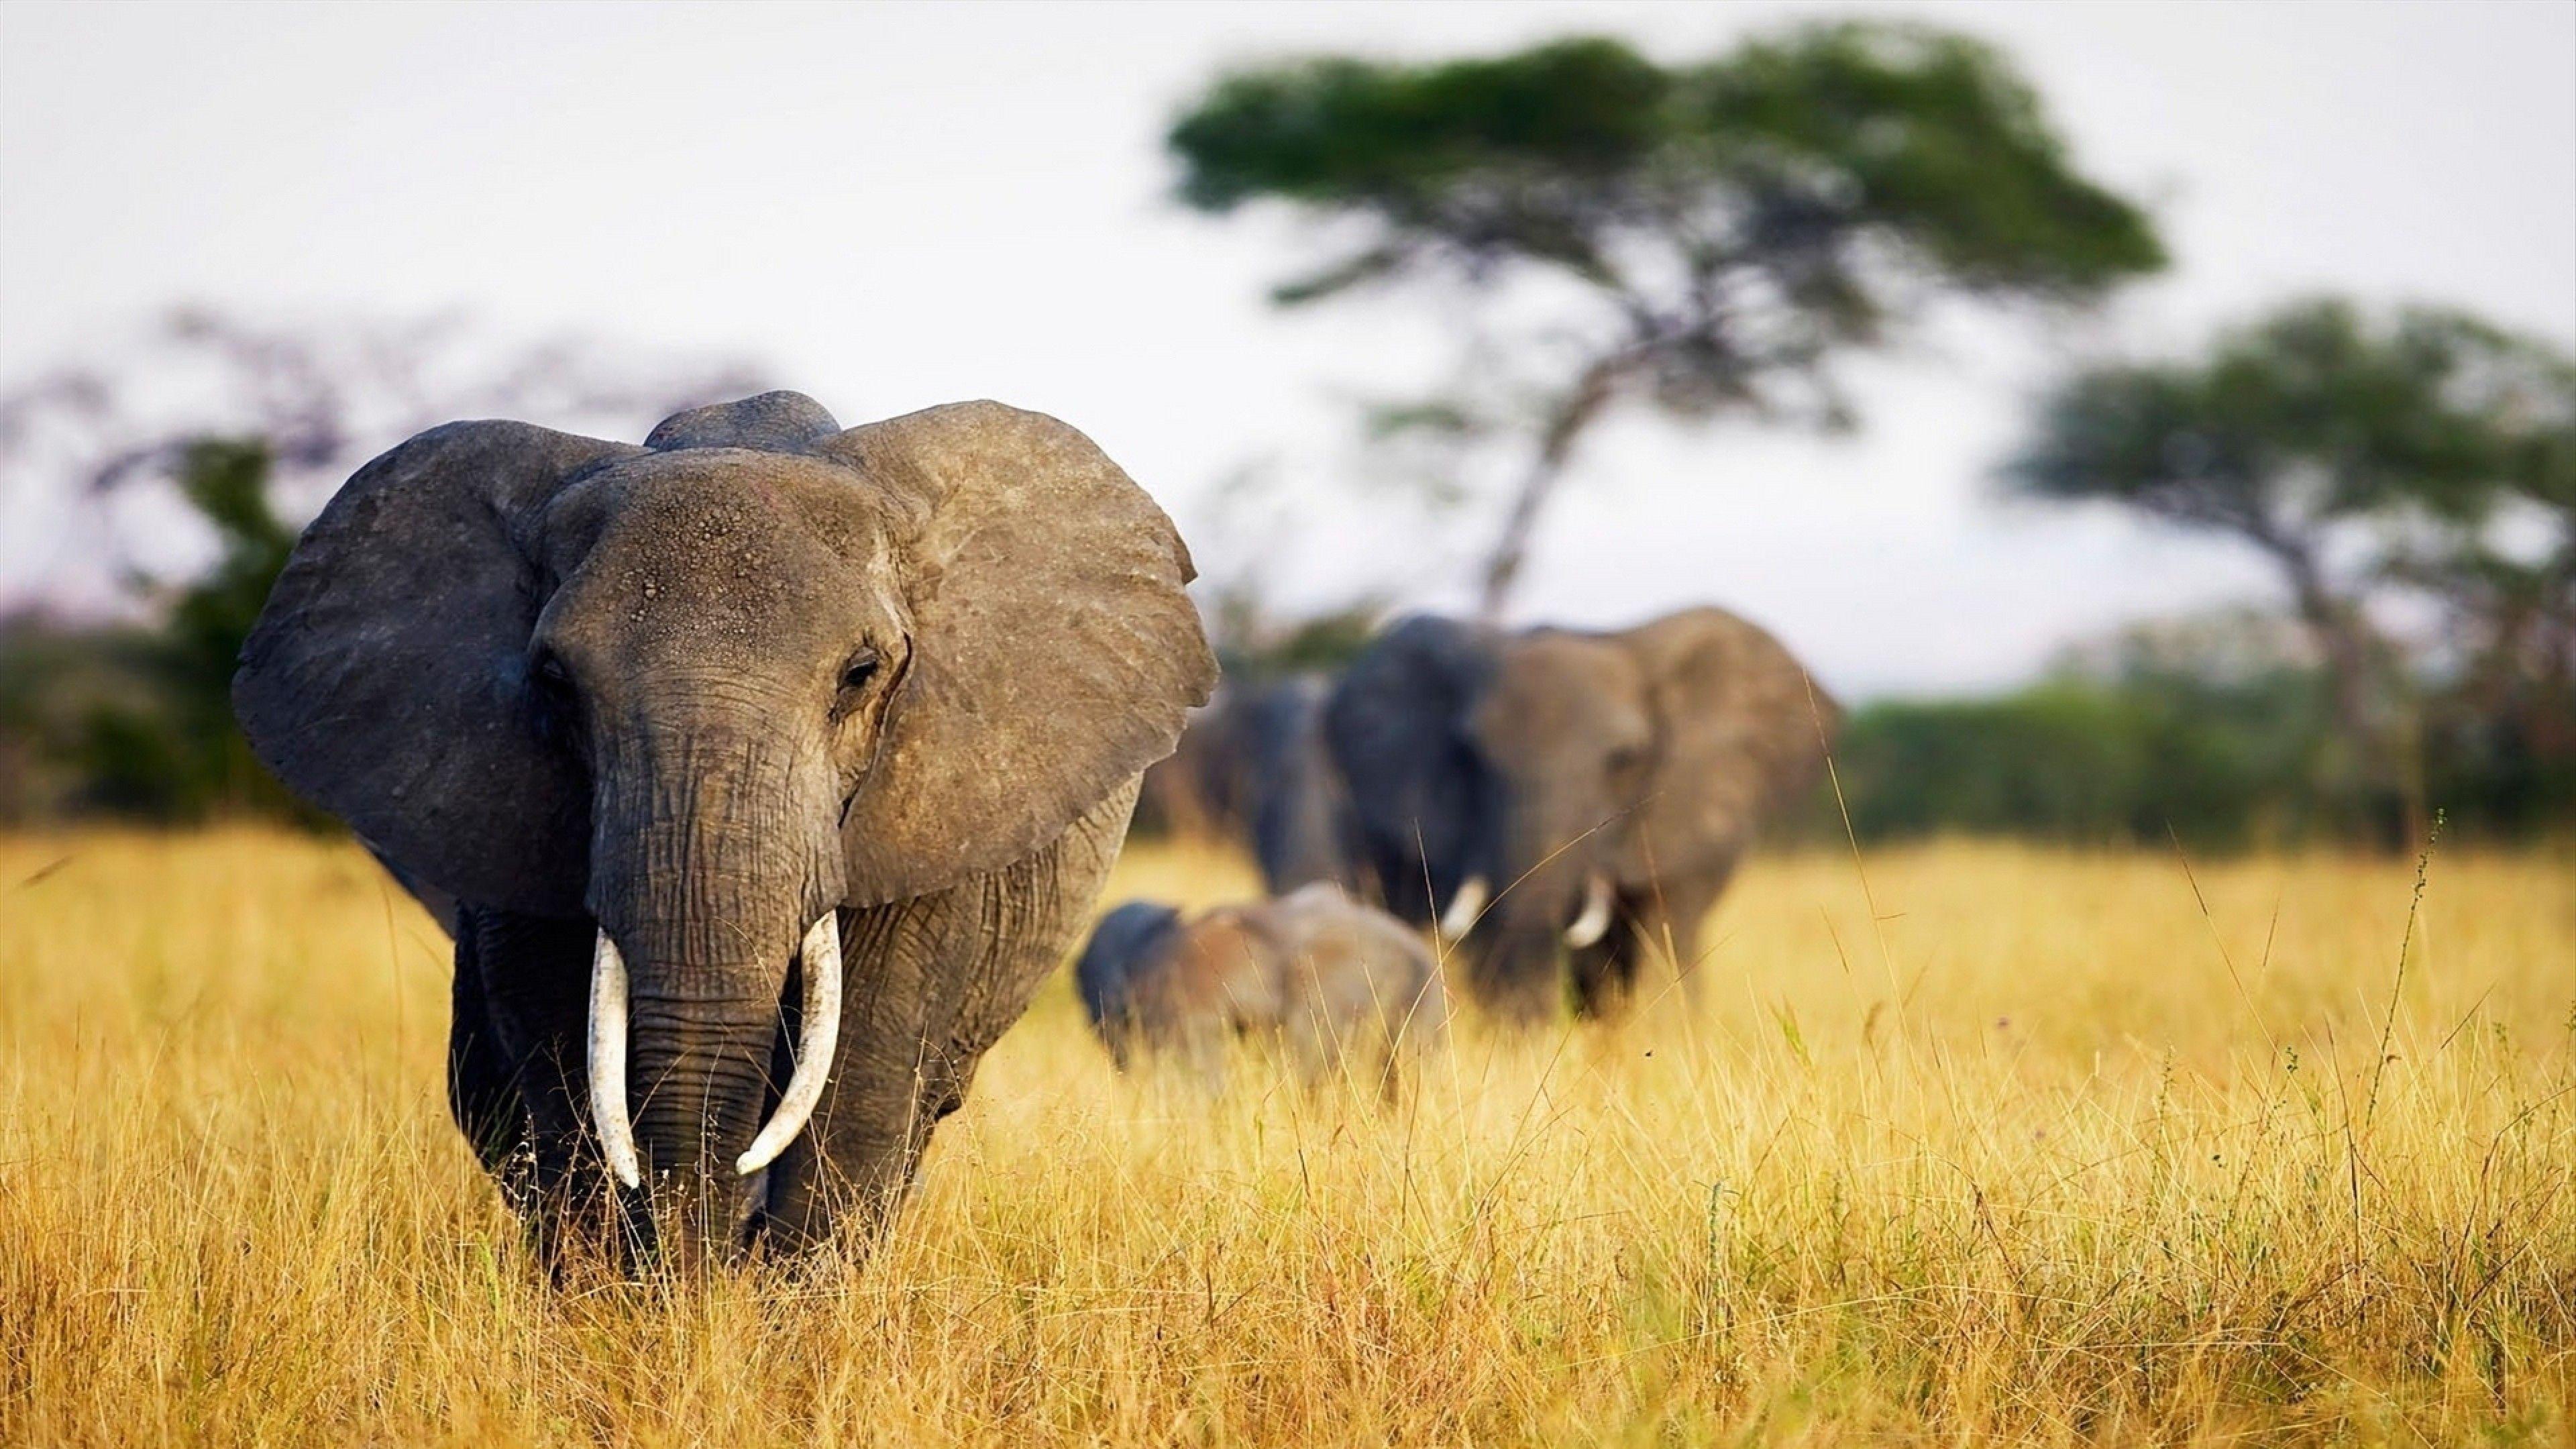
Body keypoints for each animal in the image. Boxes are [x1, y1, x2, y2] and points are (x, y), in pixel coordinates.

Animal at [232, 390, 1216, 1262]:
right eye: (554, 682)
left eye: (861, 674)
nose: (701, 1276)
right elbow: (561, 1067)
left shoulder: (936, 806)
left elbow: (859, 1086)